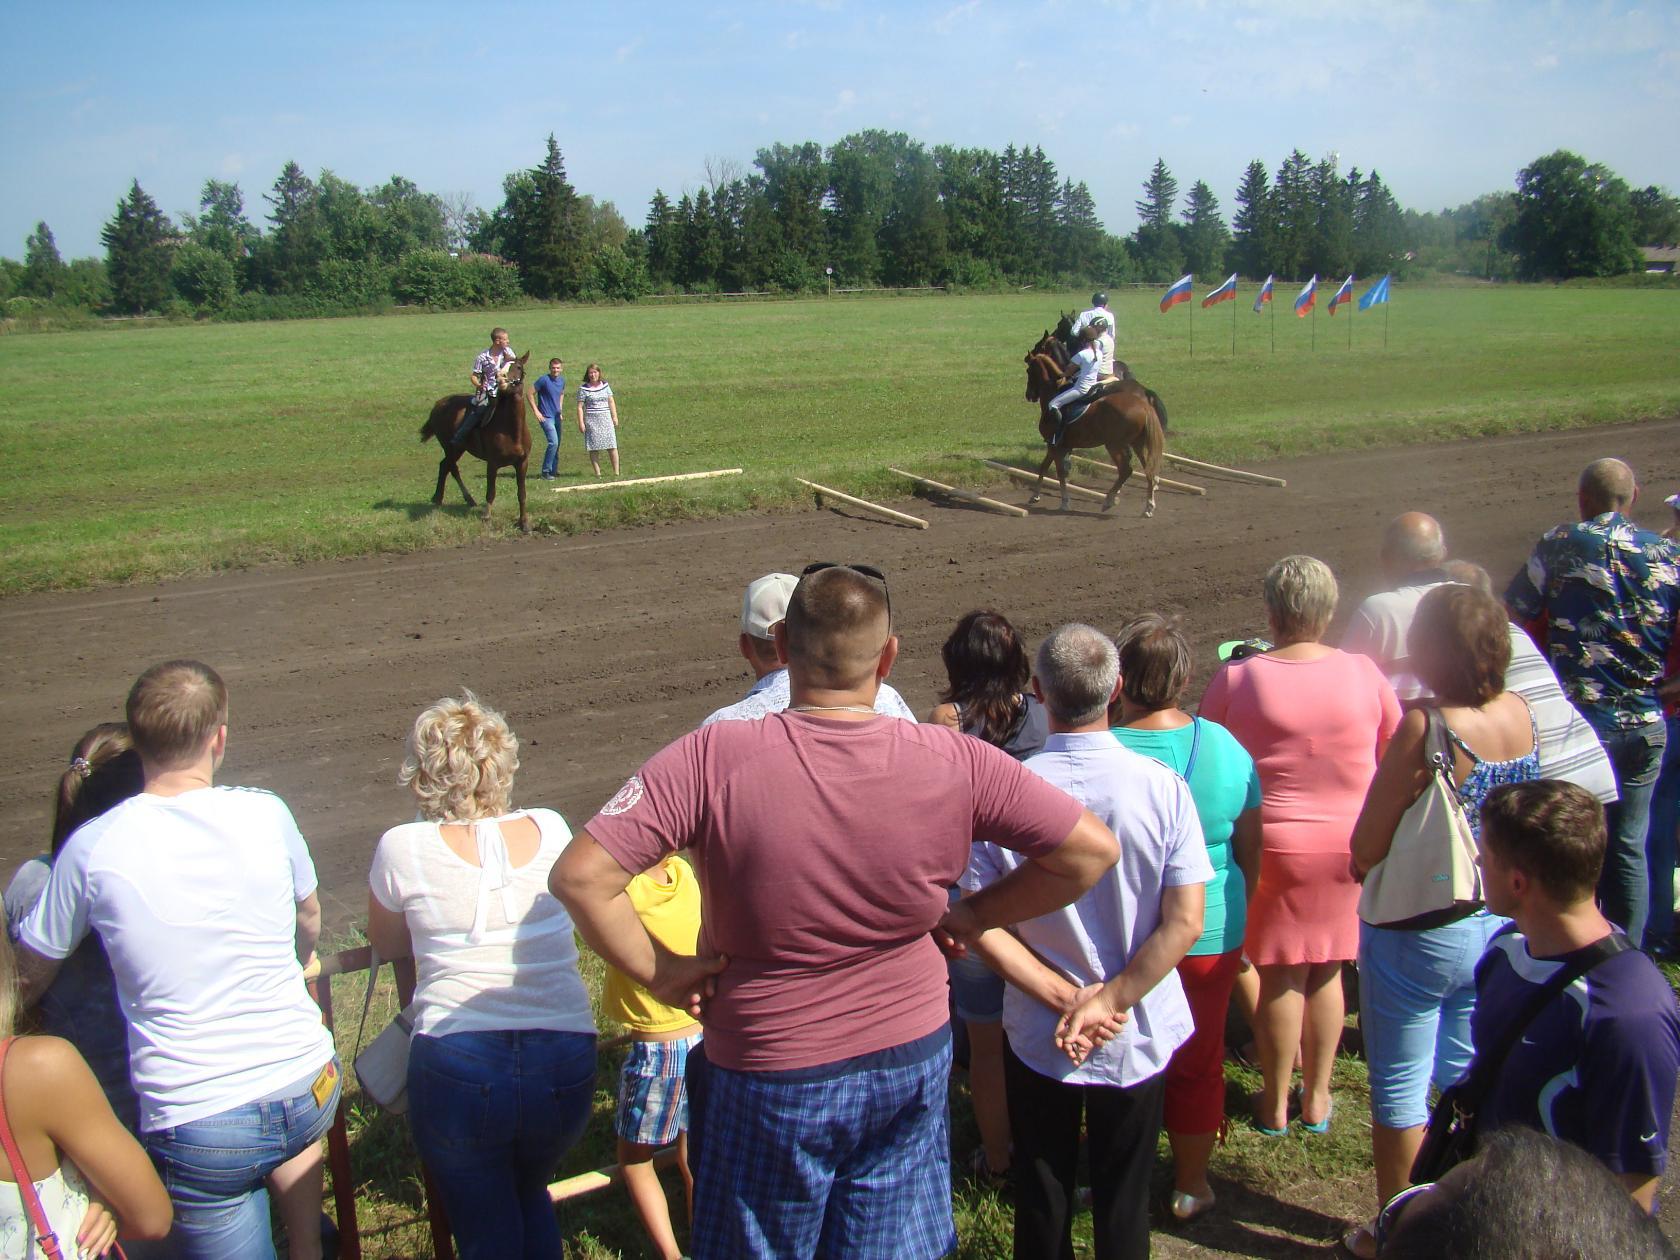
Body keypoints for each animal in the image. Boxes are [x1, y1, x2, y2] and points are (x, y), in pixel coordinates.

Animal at [420, 352, 530, 534]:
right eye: (501, 366)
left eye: (518, 367)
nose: (500, 378)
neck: (511, 430)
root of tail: (438, 404)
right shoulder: (492, 463)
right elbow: (491, 492)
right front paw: (486, 517)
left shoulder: (522, 463)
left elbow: (521, 493)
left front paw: (524, 523)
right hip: (450, 446)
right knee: (450, 467)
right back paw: (456, 498)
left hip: (458, 449)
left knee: (445, 466)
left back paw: (444, 498)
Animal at [1021, 337, 1169, 520]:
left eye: (1029, 371)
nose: (1029, 395)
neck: (1053, 393)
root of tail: (1143, 403)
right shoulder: (1059, 445)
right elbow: (1046, 467)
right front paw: (1035, 495)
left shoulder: (1055, 445)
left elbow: (1059, 471)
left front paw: (1064, 501)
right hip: (1138, 444)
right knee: (1148, 471)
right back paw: (1148, 507)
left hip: (1114, 445)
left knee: (1125, 470)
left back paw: (1109, 500)